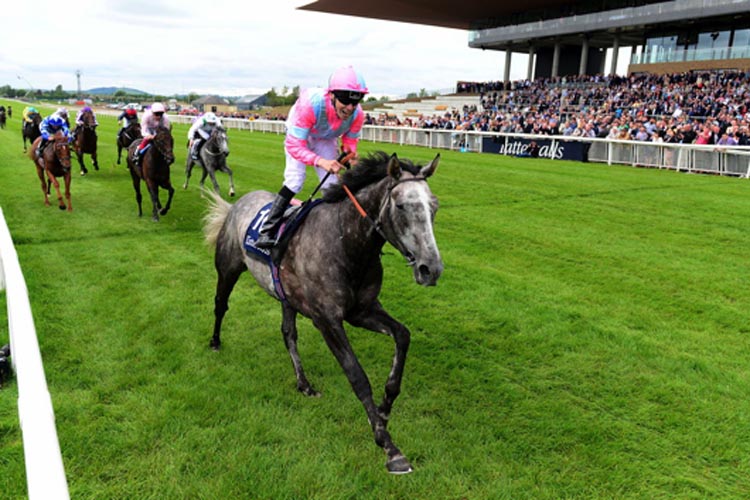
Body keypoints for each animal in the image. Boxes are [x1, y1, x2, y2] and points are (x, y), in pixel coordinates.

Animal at [203, 151, 444, 472]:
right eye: (402, 205)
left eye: (434, 206)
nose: (431, 268)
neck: (346, 243)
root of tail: (238, 203)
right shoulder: (327, 319)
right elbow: (357, 376)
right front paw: (388, 446)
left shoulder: (361, 311)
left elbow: (402, 335)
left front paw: (385, 405)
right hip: (228, 268)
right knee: (220, 304)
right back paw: (215, 342)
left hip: (286, 297)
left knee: (288, 334)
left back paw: (303, 384)